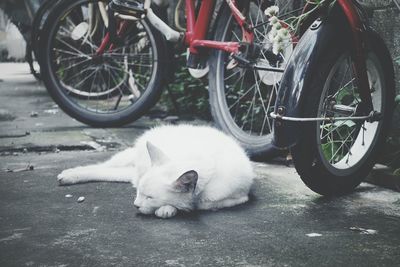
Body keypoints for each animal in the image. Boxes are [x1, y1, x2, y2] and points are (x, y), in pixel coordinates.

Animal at [57, 124, 255, 219]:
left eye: (150, 197)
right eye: (139, 193)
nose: (136, 205)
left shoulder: (235, 198)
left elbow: (194, 204)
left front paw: (168, 208)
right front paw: (170, 208)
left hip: (132, 172)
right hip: (128, 161)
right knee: (102, 167)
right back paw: (70, 174)